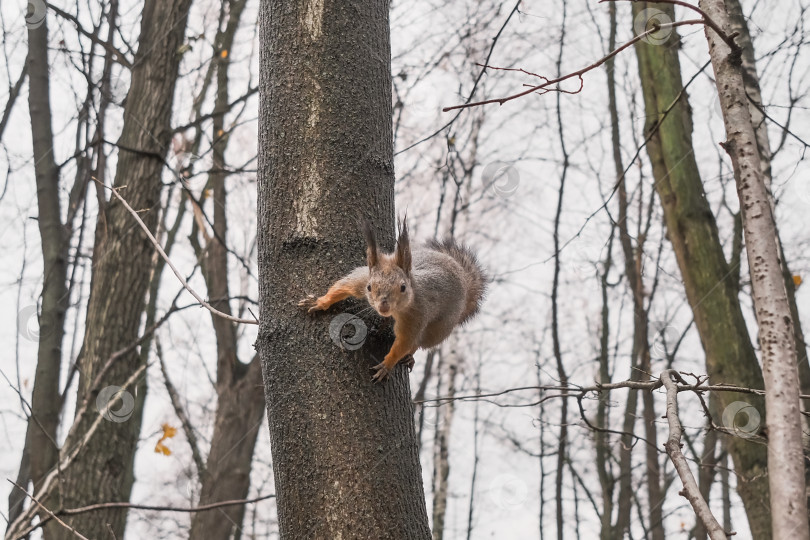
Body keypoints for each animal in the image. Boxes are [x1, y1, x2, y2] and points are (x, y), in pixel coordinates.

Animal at [298, 217, 482, 382]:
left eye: (403, 288)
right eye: (369, 287)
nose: (383, 308)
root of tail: (461, 272)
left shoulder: (416, 315)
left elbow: (405, 341)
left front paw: (387, 365)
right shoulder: (361, 280)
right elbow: (343, 286)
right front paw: (319, 302)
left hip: (441, 326)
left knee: (420, 341)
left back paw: (410, 356)